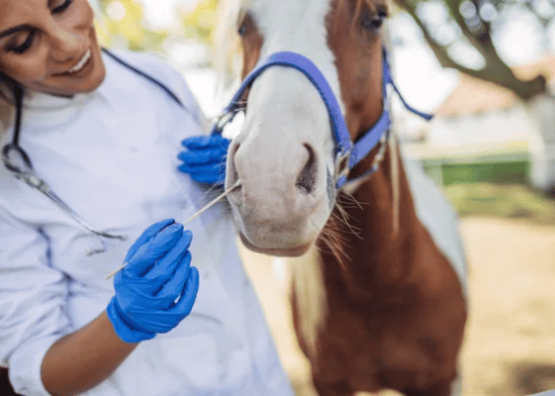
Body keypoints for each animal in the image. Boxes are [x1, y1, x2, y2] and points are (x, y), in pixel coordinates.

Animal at [213, 1, 470, 394]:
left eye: (375, 18)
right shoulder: (327, 380)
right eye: (243, 26)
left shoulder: (443, 379)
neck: (380, 286)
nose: (270, 179)